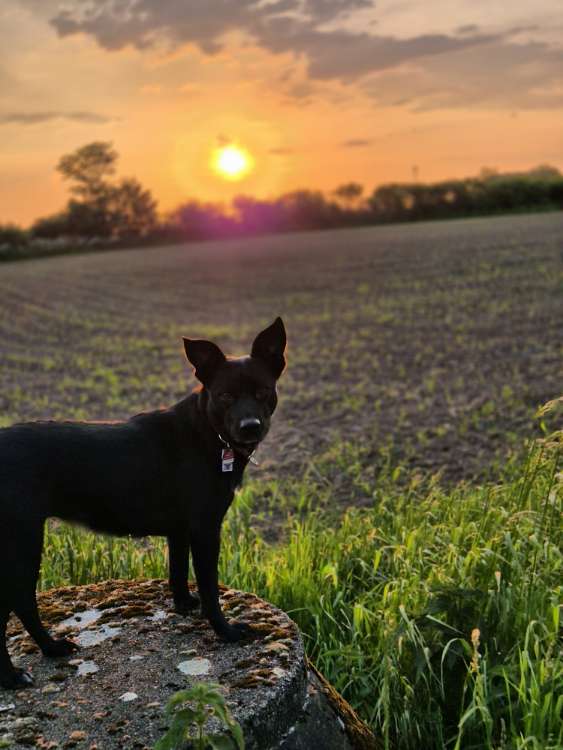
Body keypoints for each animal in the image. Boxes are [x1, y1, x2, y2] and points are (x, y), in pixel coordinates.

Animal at [0, 318, 288, 692]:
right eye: (225, 396)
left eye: (262, 391)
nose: (250, 427)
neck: (208, 432)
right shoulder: (205, 529)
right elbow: (210, 588)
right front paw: (224, 631)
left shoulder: (181, 531)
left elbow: (177, 571)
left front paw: (183, 605)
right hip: (21, 542)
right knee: (14, 603)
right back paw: (13, 675)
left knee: (21, 601)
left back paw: (52, 648)